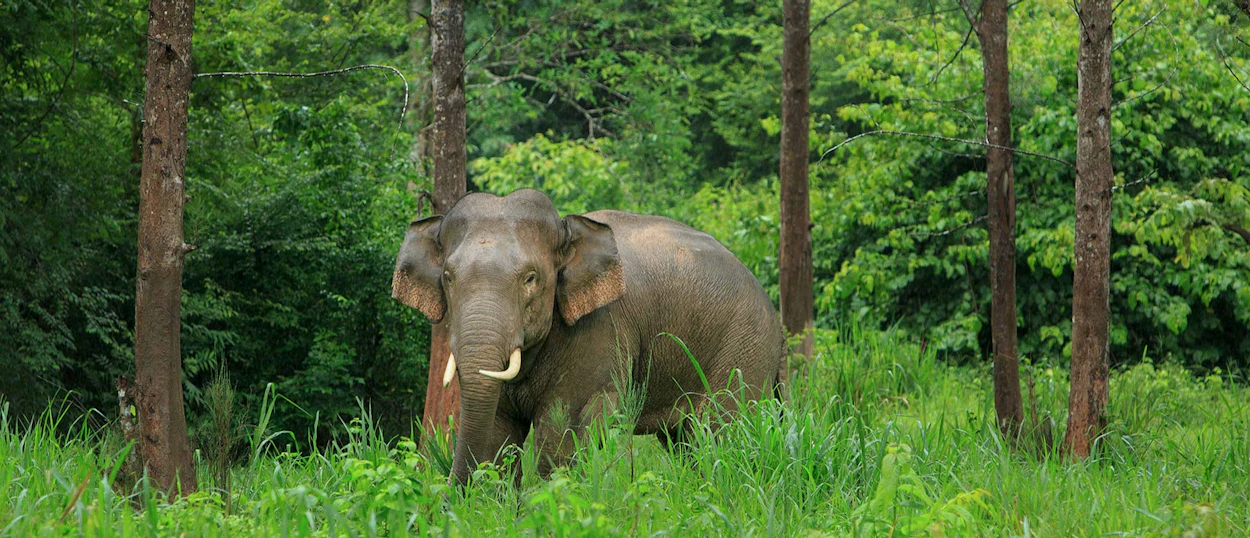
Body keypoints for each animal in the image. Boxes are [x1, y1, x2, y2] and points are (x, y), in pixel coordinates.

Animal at [391, 189, 786, 486]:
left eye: (530, 278)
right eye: (448, 277)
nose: (446, 498)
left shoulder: (601, 329)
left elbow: (562, 428)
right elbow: (496, 433)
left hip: (743, 349)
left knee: (724, 433)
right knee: (687, 443)